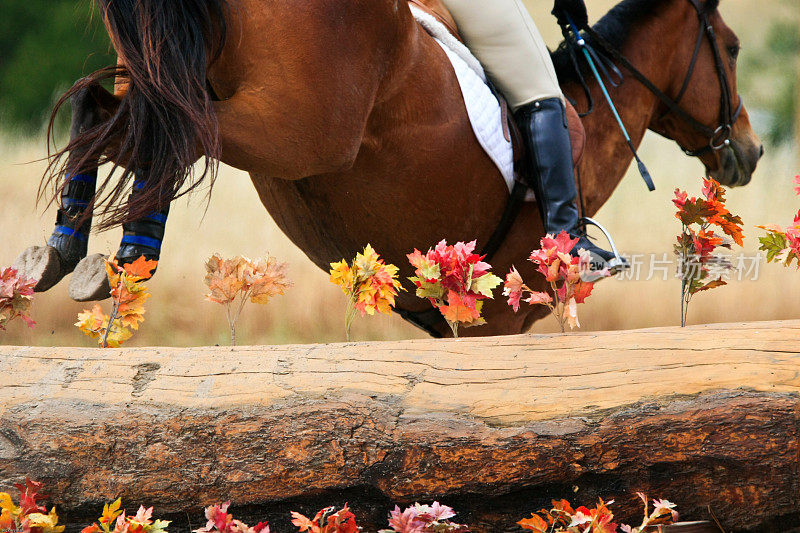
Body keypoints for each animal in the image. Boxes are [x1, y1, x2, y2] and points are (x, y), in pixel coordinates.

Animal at [23, 0, 764, 336]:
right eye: (729, 48)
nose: (749, 151)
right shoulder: (494, 321)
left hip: (161, 67)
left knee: (120, 119)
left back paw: (79, 254)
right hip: (296, 130)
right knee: (166, 133)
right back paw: (114, 257)